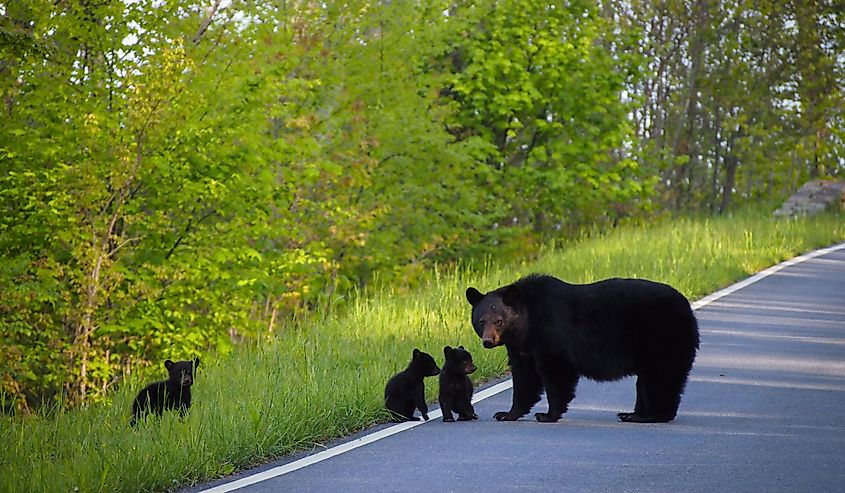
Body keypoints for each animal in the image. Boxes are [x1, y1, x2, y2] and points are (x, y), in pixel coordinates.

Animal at [464, 272, 696, 422]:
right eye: (481, 321)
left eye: (499, 321)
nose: (488, 341)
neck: (528, 322)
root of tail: (686, 306)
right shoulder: (522, 347)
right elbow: (524, 379)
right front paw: (506, 414)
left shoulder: (550, 334)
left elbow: (556, 373)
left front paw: (547, 414)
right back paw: (632, 414)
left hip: (661, 337)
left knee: (659, 377)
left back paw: (650, 416)